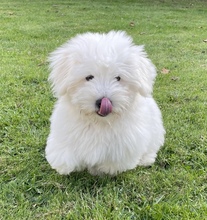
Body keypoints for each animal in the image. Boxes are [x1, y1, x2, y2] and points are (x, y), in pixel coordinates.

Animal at [45, 30, 165, 175]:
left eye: (118, 78)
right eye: (89, 77)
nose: (101, 102)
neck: (99, 122)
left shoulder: (126, 142)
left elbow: (113, 162)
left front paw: (99, 169)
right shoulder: (65, 129)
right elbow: (63, 153)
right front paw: (65, 165)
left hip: (155, 131)